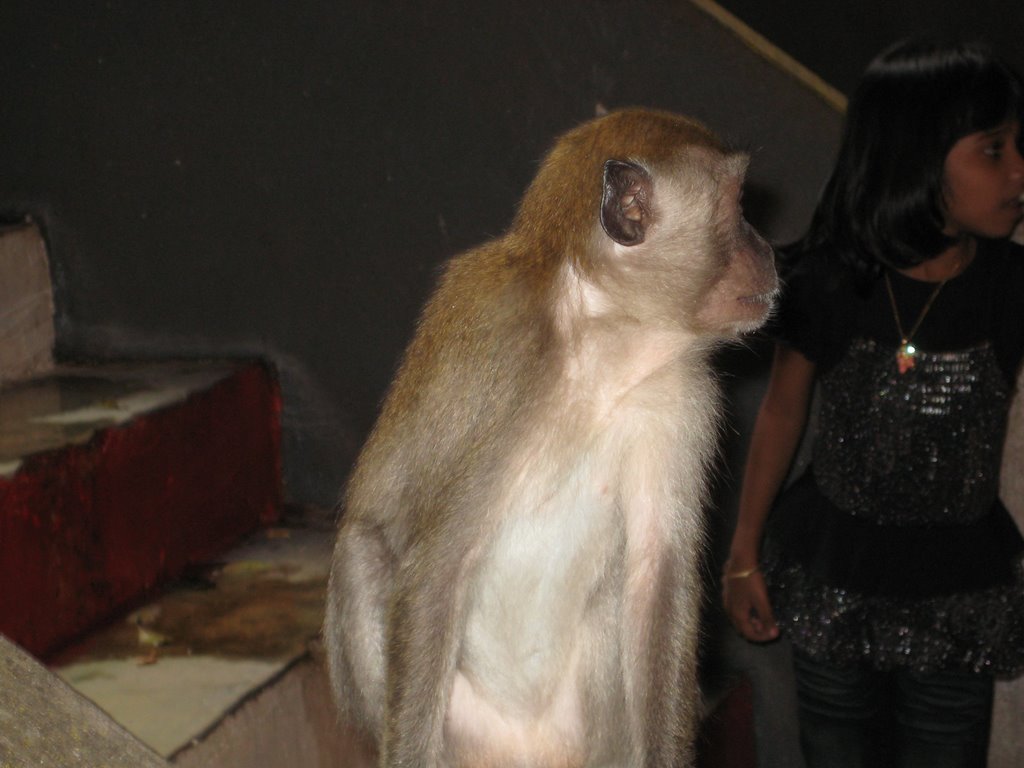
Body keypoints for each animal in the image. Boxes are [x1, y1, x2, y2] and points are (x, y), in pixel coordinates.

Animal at [323, 109, 778, 768]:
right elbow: (435, 568)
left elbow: (654, 579)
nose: (767, 251)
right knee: (361, 552)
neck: (603, 339)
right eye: (736, 206)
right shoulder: (504, 349)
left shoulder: (682, 397)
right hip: (462, 730)